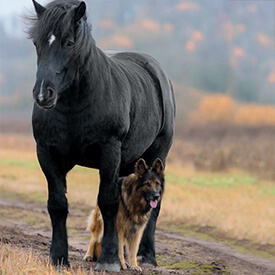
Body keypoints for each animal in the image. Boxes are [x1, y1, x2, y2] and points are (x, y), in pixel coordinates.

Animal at [27, 0, 175, 272]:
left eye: (69, 43)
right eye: (37, 42)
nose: (44, 94)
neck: (75, 107)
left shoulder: (109, 153)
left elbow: (108, 203)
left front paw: (109, 260)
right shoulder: (47, 154)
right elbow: (57, 204)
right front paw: (58, 258)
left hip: (156, 155)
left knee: (155, 206)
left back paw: (146, 256)